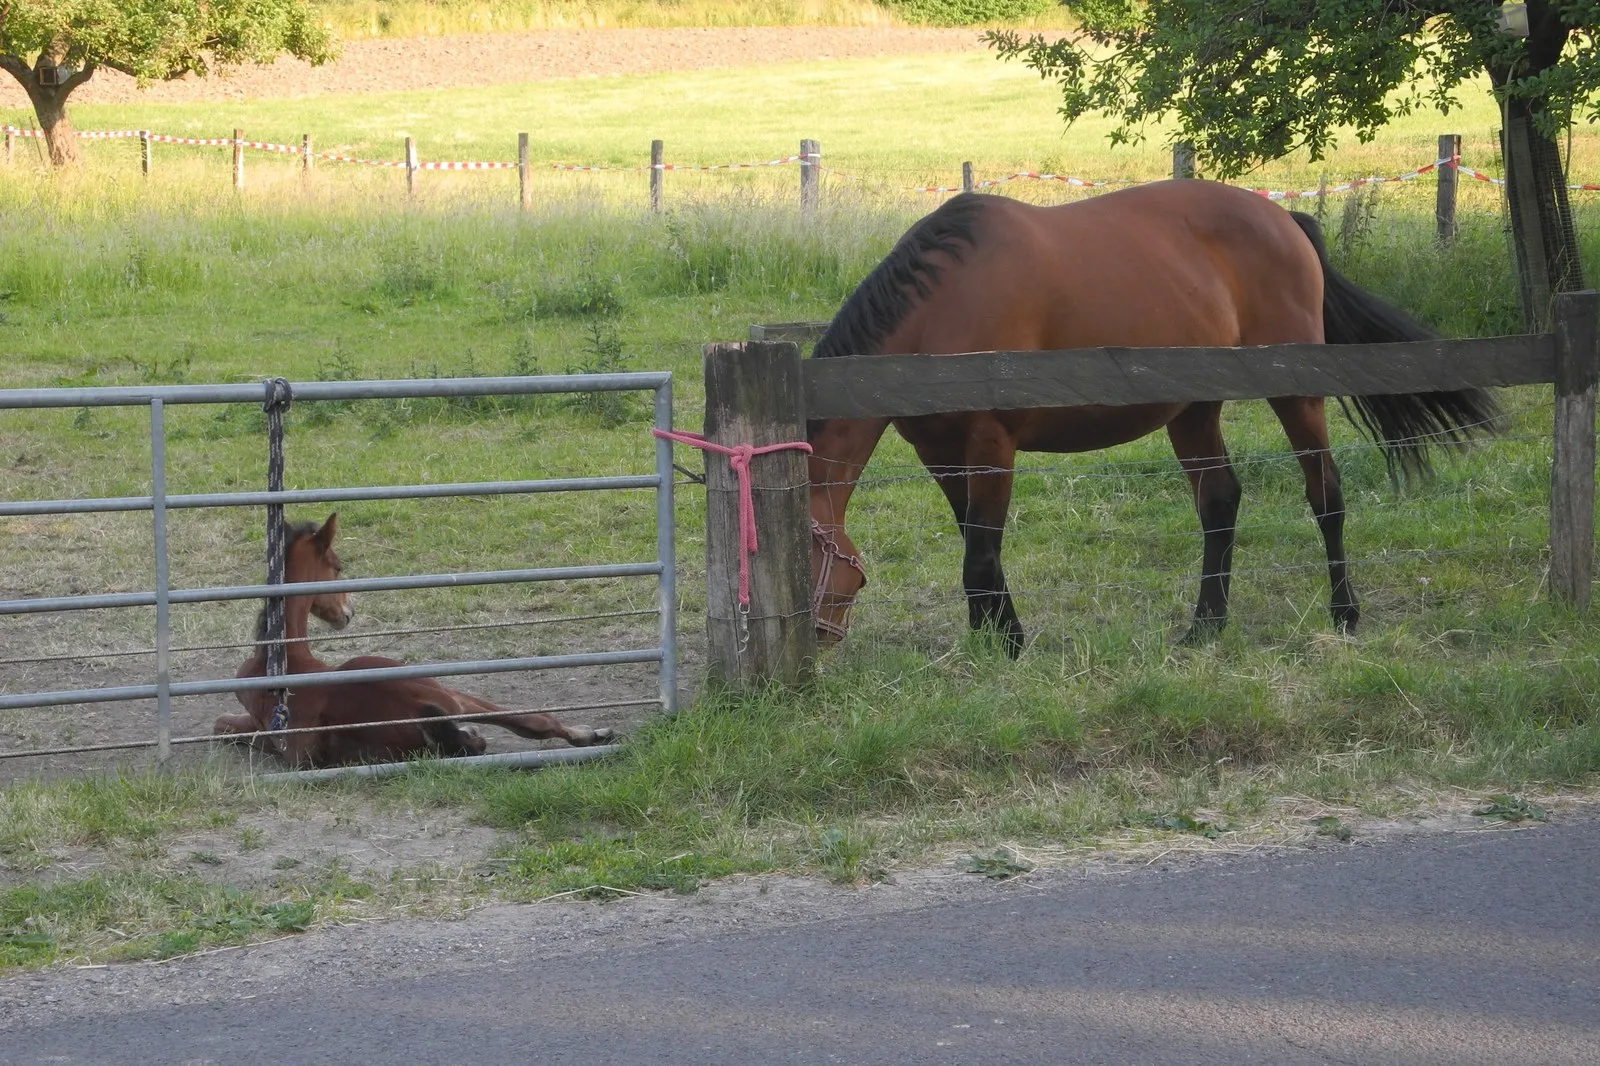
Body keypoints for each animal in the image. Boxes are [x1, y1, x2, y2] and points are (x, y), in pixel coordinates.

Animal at [213, 513, 614, 767]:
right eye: (338, 567)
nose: (348, 612)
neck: (278, 658)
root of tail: (415, 708)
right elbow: (220, 725)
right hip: (448, 692)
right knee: (531, 721)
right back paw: (592, 733)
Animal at [806, 179, 1500, 657]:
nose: (805, 658)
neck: (940, 311)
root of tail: (1285, 218)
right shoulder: (942, 454)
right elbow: (979, 550)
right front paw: (999, 637)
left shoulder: (991, 444)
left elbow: (979, 556)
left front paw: (1002, 649)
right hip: (1193, 412)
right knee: (1220, 503)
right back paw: (1206, 626)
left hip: (1296, 397)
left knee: (1325, 495)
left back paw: (1344, 615)